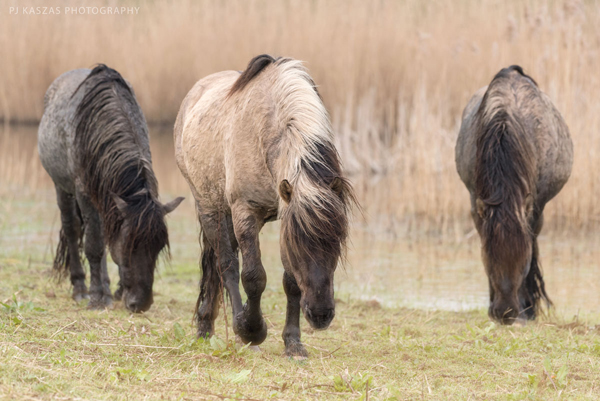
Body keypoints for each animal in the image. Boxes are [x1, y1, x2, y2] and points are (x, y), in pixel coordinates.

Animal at [38, 64, 183, 310]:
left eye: (158, 247)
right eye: (128, 247)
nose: (140, 303)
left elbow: (104, 241)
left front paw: (115, 291)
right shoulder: (84, 193)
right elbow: (94, 245)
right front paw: (97, 298)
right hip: (62, 188)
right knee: (73, 229)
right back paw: (81, 288)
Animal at [175, 54, 356, 356]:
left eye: (338, 241)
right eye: (298, 243)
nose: (321, 315)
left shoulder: (285, 215)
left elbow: (291, 282)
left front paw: (293, 343)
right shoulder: (245, 212)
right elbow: (252, 276)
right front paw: (251, 330)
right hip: (210, 208)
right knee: (225, 264)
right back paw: (225, 329)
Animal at [458, 65, 576, 322]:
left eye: (523, 262)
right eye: (488, 259)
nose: (506, 313)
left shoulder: (536, 208)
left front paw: (529, 308)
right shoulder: (475, 203)